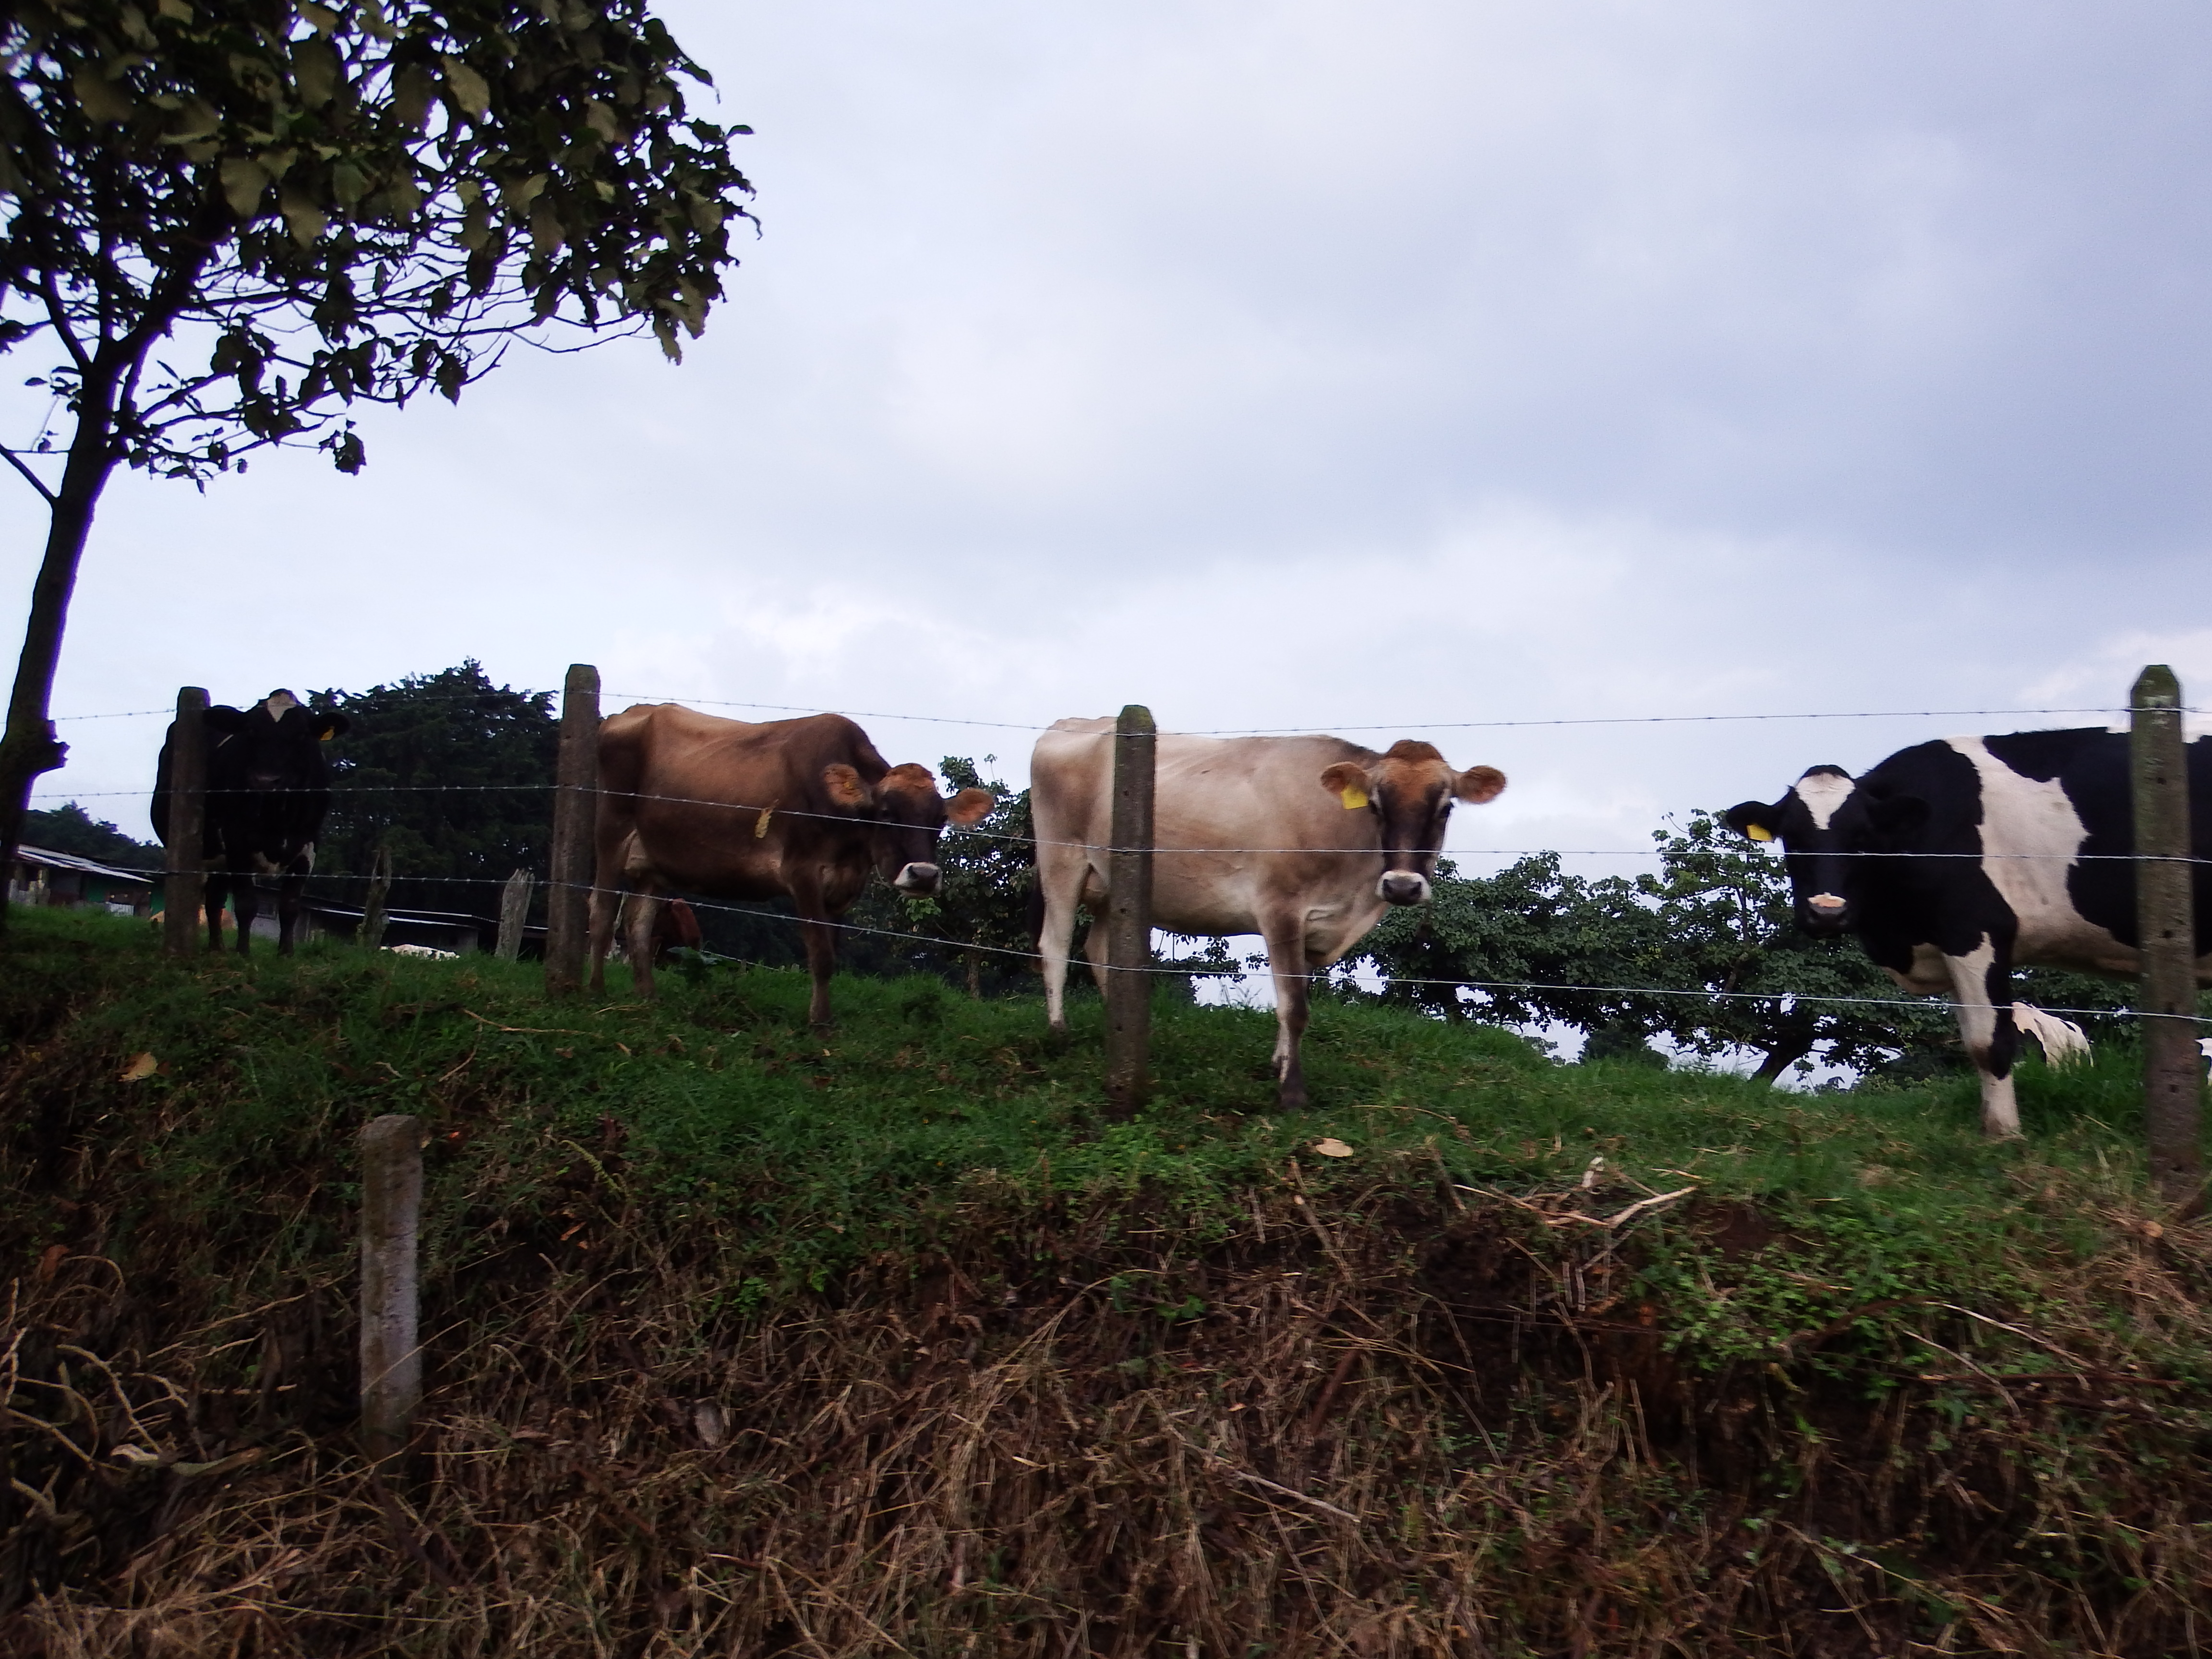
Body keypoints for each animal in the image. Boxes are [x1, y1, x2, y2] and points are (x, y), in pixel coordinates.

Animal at [152, 690, 351, 955]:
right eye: (251, 731)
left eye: (301, 734)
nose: (266, 780)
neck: (278, 816)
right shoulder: (237, 842)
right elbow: (246, 904)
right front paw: (243, 953)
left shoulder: (308, 846)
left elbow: (290, 907)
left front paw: (286, 954)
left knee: (215, 898)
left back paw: (217, 947)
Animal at [587, 705, 995, 1020]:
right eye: (886, 813)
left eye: (940, 820)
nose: (924, 876)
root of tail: (628, 713)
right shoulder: (802, 872)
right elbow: (820, 954)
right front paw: (819, 1025)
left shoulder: (843, 885)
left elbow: (831, 953)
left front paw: (825, 1019)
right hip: (611, 828)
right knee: (603, 910)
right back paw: (595, 992)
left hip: (653, 861)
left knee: (639, 923)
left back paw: (647, 997)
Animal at [1030, 719, 1506, 1109]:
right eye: (1375, 805)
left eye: (1446, 808)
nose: (1402, 886)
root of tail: (1072, 722)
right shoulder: (1280, 908)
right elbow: (1294, 1007)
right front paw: (1292, 1093)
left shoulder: (1315, 924)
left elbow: (1296, 996)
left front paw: (1278, 1063)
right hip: (1062, 858)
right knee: (1054, 943)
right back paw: (1058, 1034)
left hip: (1112, 887)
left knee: (1100, 950)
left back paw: (1120, 1024)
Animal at [1725, 727, 2212, 1138]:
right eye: (1792, 837)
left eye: (1863, 837)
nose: (1827, 912)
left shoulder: (1976, 929)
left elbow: (1987, 1043)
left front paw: (2004, 1136)